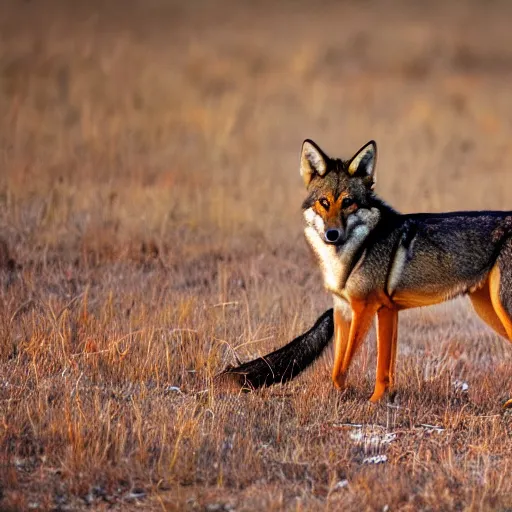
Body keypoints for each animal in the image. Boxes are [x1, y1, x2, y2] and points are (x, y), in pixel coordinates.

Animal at [218, 138, 510, 406]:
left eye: (348, 202)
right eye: (324, 202)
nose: (332, 234)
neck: (351, 257)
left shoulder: (365, 308)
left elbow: (351, 367)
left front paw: (367, 401)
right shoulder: (358, 310)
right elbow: (361, 368)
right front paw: (379, 399)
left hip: (499, 309)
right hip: (488, 310)